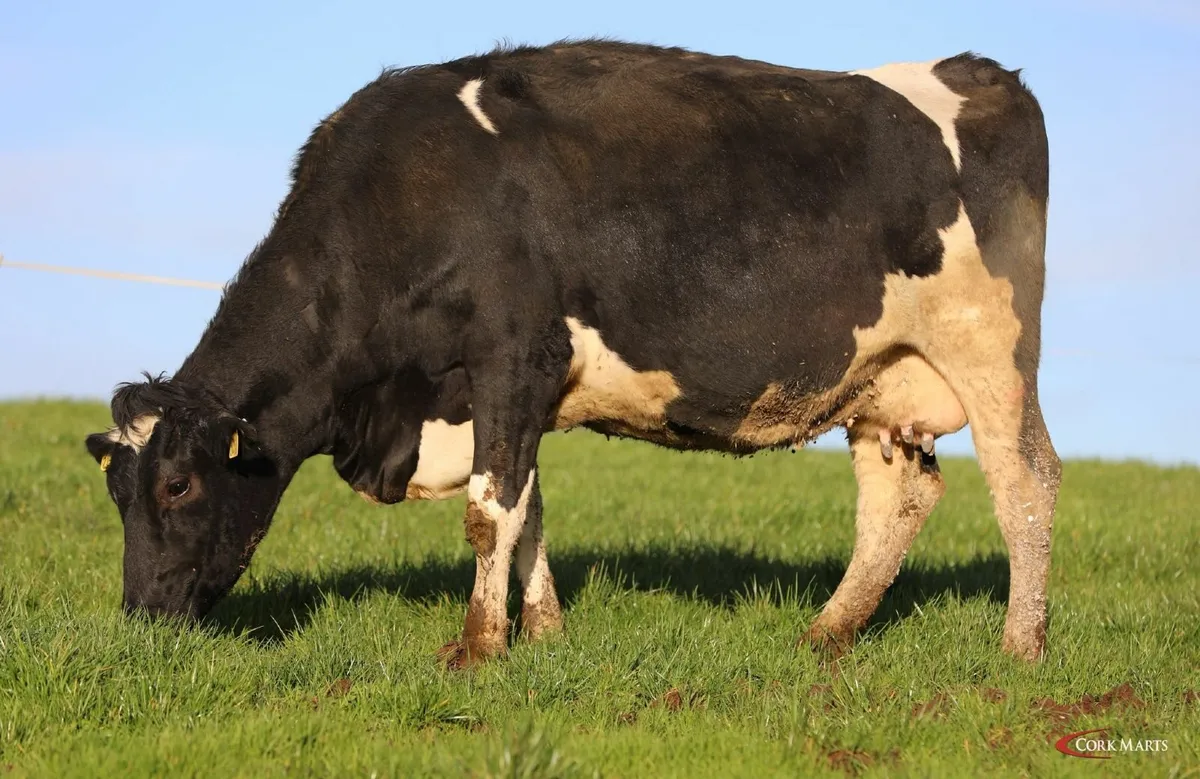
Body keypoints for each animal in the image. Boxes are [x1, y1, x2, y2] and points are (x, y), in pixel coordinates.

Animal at [84, 39, 1060, 667]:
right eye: (117, 490)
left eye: (179, 485)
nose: (141, 618)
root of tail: (980, 72)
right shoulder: (507, 385)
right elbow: (528, 508)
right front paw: (545, 632)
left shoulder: (511, 352)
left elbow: (489, 511)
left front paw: (480, 647)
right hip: (884, 379)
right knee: (899, 499)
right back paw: (826, 635)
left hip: (991, 348)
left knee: (1025, 480)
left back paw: (1020, 647)